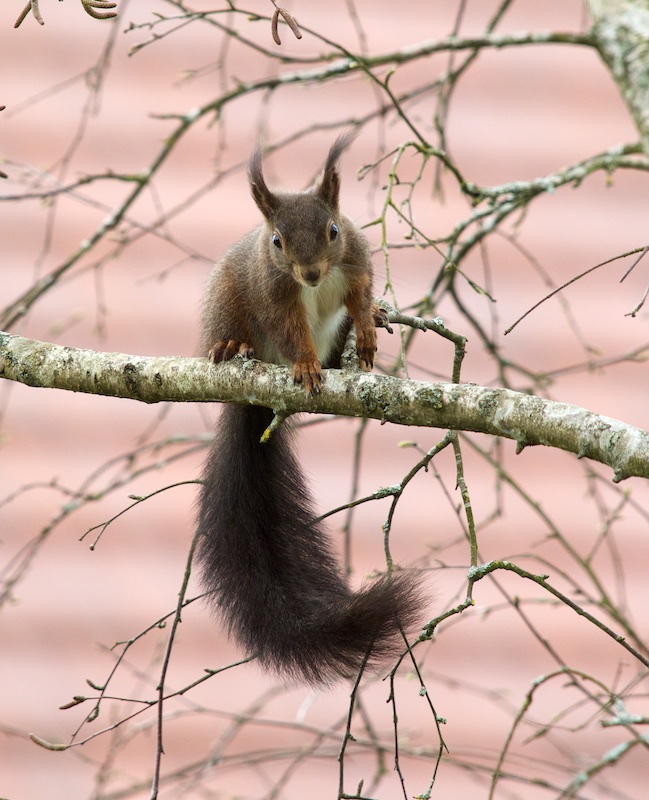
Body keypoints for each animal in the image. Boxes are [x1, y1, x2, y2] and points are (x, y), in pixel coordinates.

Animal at [196, 134, 420, 684]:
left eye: (333, 230)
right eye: (277, 241)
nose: (313, 272)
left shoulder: (356, 262)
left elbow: (359, 297)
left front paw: (368, 324)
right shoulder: (277, 294)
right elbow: (291, 330)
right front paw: (305, 365)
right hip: (226, 303)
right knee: (239, 334)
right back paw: (232, 348)